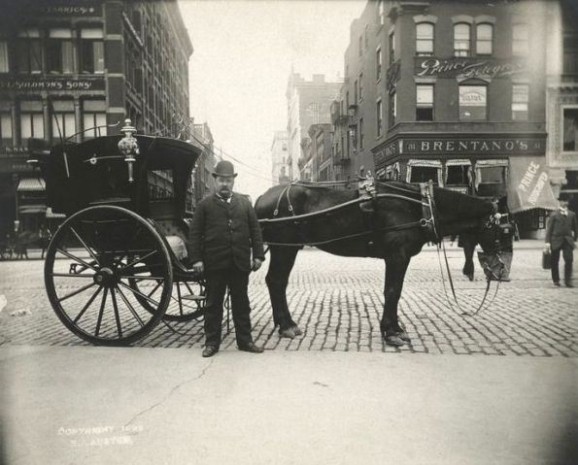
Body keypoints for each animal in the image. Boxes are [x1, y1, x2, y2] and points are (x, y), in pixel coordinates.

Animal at [254, 180, 502, 344]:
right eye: (502, 227)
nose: (500, 269)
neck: (419, 206)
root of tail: (261, 198)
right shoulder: (397, 256)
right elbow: (392, 291)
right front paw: (392, 331)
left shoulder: (398, 258)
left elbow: (393, 291)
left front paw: (393, 328)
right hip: (284, 248)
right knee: (276, 281)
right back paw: (287, 326)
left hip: (286, 249)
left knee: (277, 282)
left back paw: (285, 324)